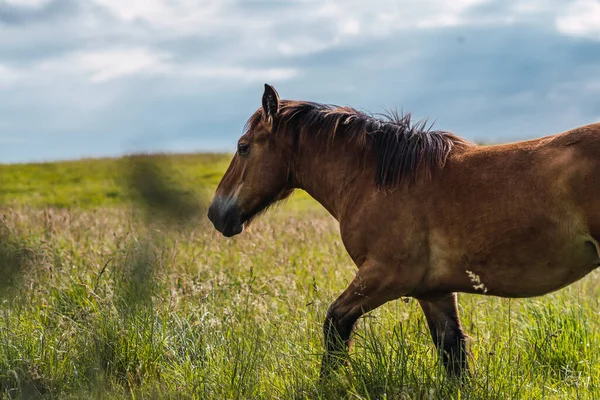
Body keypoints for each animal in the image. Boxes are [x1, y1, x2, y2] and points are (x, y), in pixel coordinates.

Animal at [206, 84, 600, 378]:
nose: (216, 213)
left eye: (243, 147)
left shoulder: (385, 276)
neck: (377, 180)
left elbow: (334, 325)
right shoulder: (434, 292)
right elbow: (452, 355)